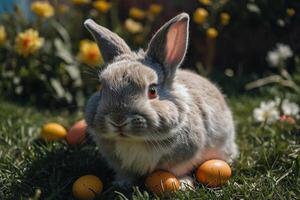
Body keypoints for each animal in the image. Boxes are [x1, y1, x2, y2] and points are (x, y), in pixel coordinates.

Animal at [83, 12, 238, 188]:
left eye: (152, 91)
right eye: (101, 88)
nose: (118, 120)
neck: (138, 140)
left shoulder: (183, 158)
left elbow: (177, 171)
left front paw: (183, 184)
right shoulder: (120, 164)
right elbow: (125, 173)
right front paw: (121, 184)